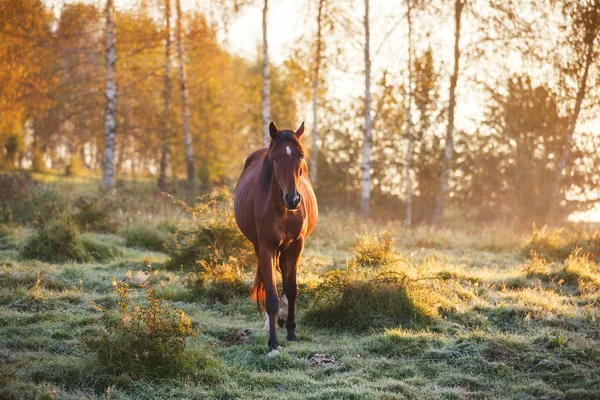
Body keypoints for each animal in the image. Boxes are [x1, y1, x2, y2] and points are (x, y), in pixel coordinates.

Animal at [233, 120, 318, 352]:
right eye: (276, 157)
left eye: (301, 155)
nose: (293, 199)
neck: (283, 210)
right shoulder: (266, 247)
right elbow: (271, 294)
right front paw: (272, 342)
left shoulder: (296, 245)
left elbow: (291, 288)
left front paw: (291, 331)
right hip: (261, 247)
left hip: (285, 249)